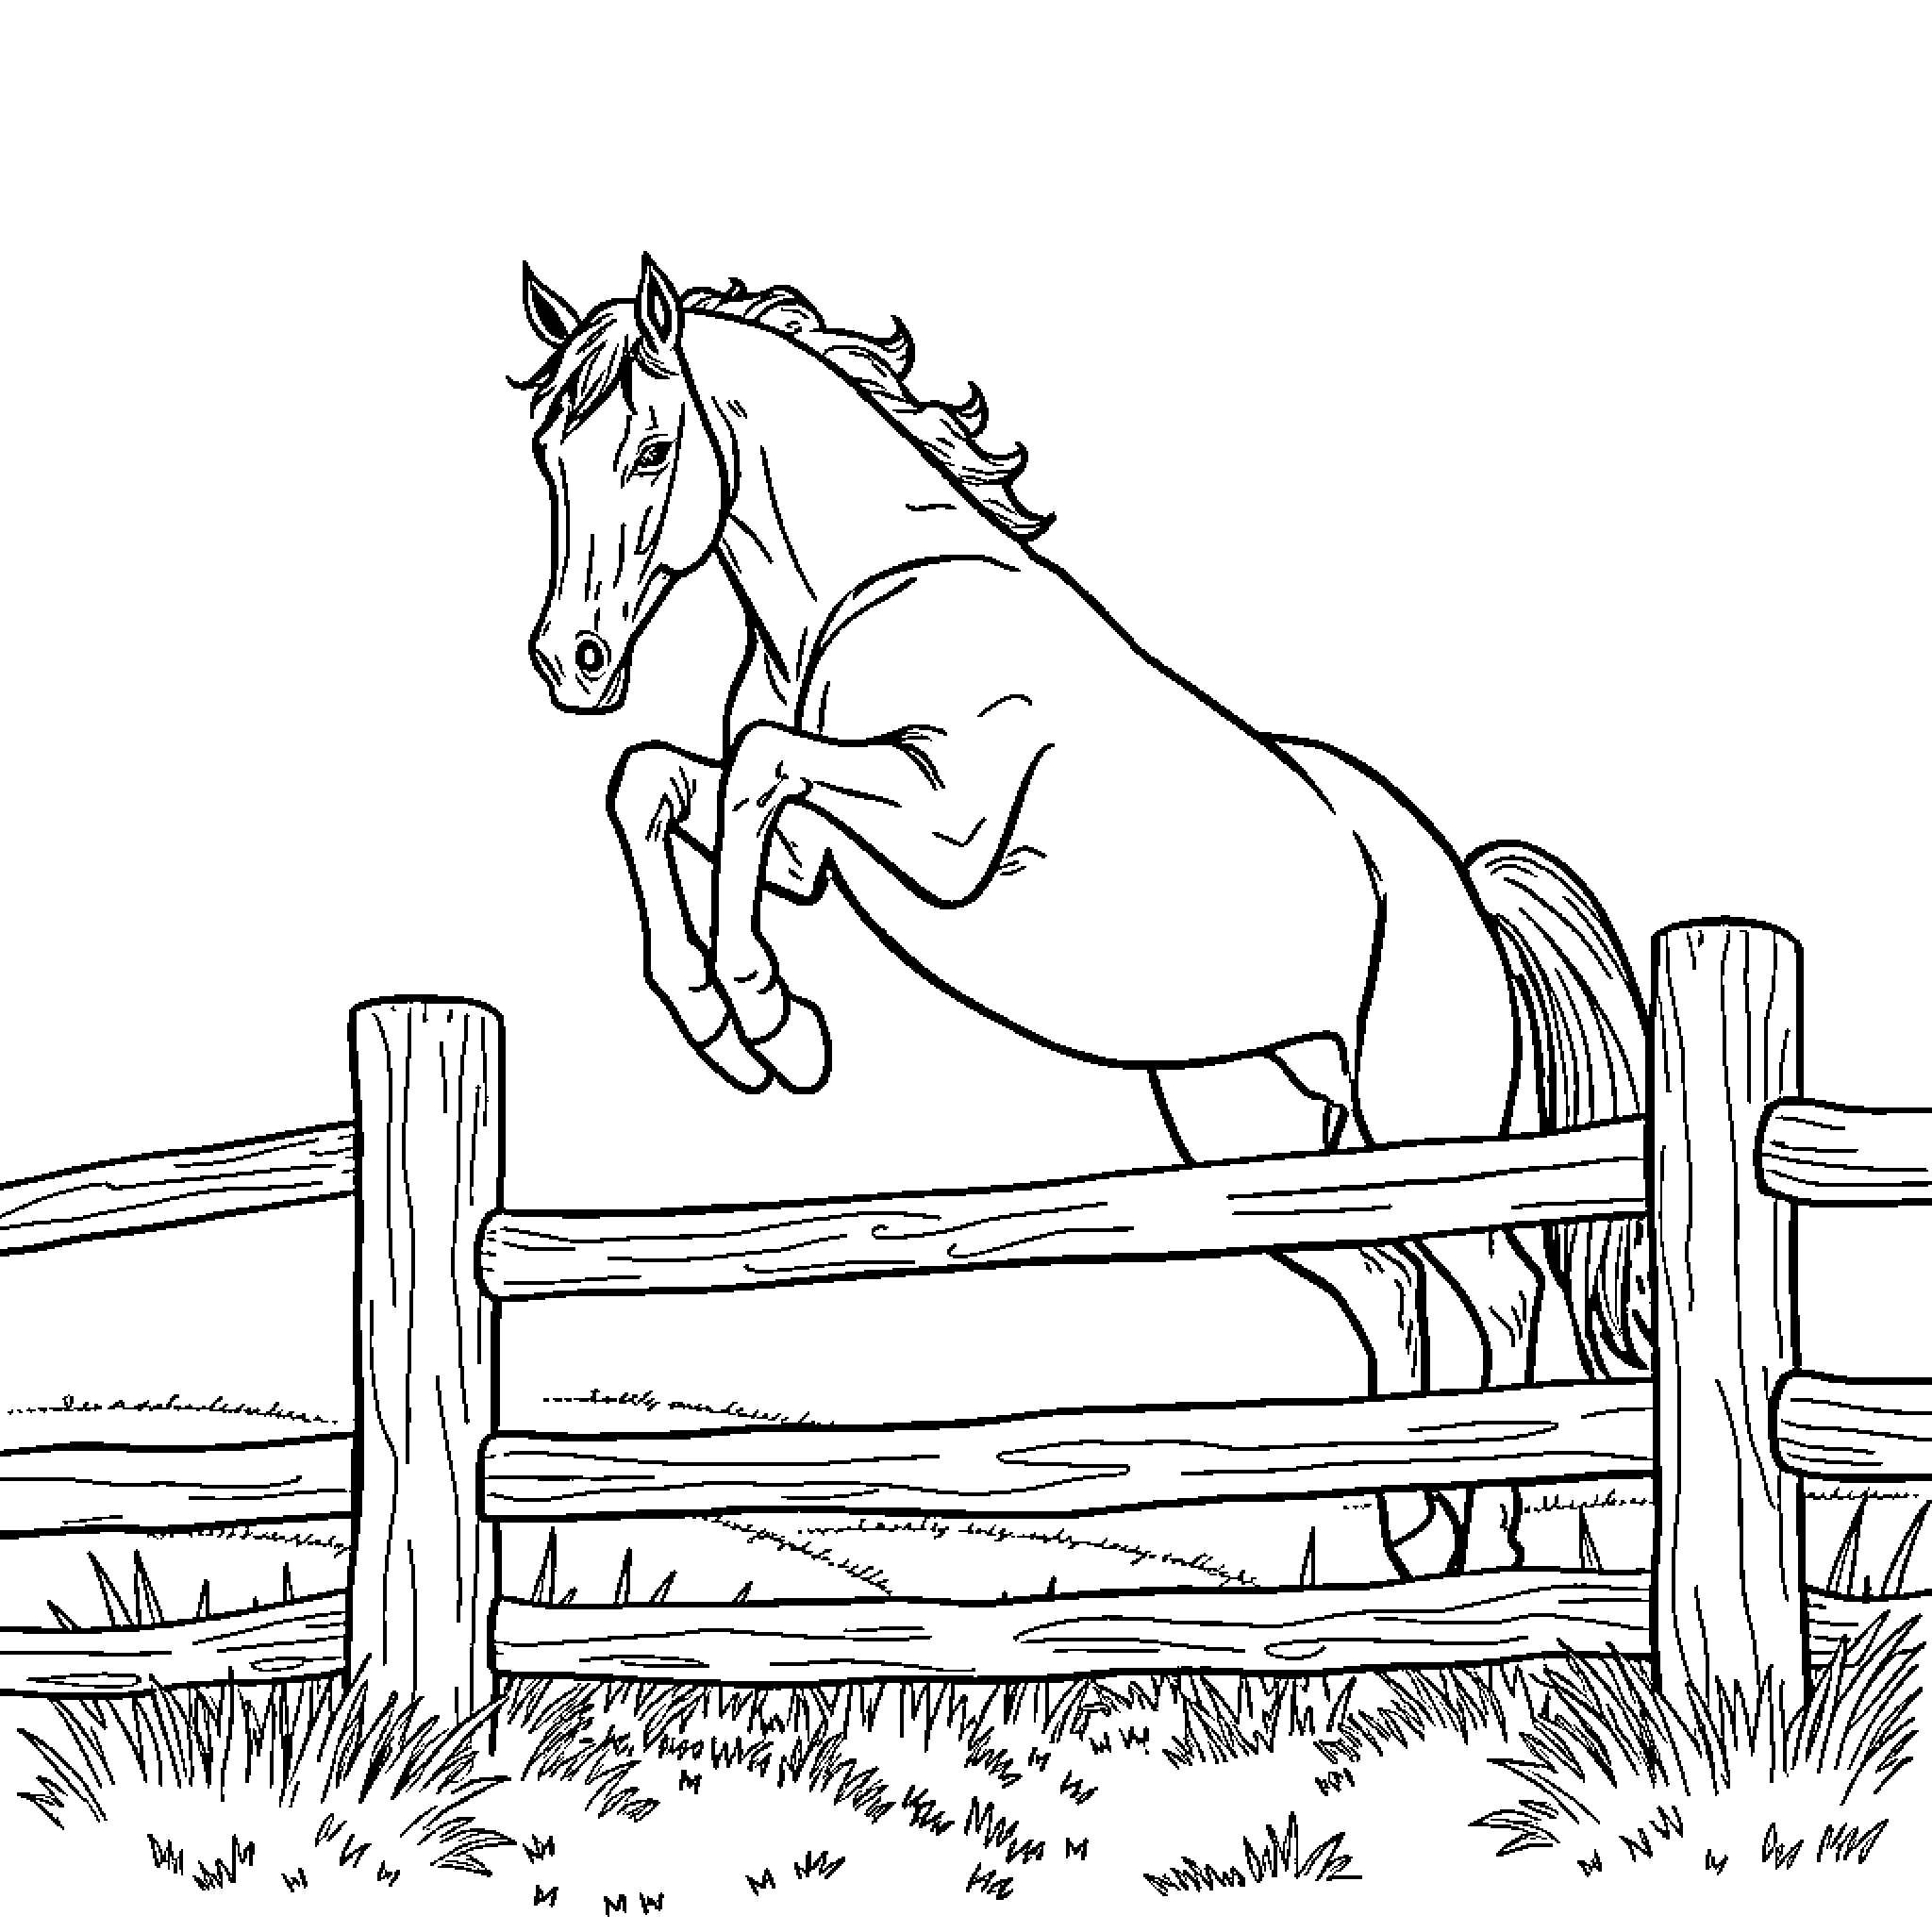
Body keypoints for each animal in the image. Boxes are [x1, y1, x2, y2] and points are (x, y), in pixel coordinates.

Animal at [511, 253, 1652, 1579]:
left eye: (648, 448)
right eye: (547, 451)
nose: (571, 661)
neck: (868, 596)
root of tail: (1458, 885)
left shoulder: (940, 829)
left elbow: (751, 769)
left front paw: (772, 1024)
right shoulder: (811, 856)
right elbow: (654, 782)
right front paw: (728, 1022)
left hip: (1422, 1125)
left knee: (1500, 1284)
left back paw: (1490, 1543)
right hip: (1263, 1138)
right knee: (1386, 1287)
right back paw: (1412, 1522)